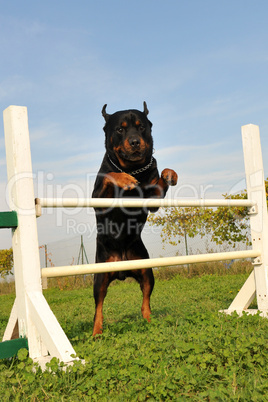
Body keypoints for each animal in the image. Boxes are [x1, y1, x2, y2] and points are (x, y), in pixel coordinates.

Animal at [92, 102, 178, 334]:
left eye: (141, 127)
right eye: (119, 130)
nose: (134, 141)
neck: (133, 168)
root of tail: (122, 268)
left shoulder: (153, 200)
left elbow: (162, 174)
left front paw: (170, 174)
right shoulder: (97, 201)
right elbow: (111, 175)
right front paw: (124, 179)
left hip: (146, 271)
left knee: (145, 301)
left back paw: (149, 321)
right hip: (99, 277)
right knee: (98, 307)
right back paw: (96, 332)